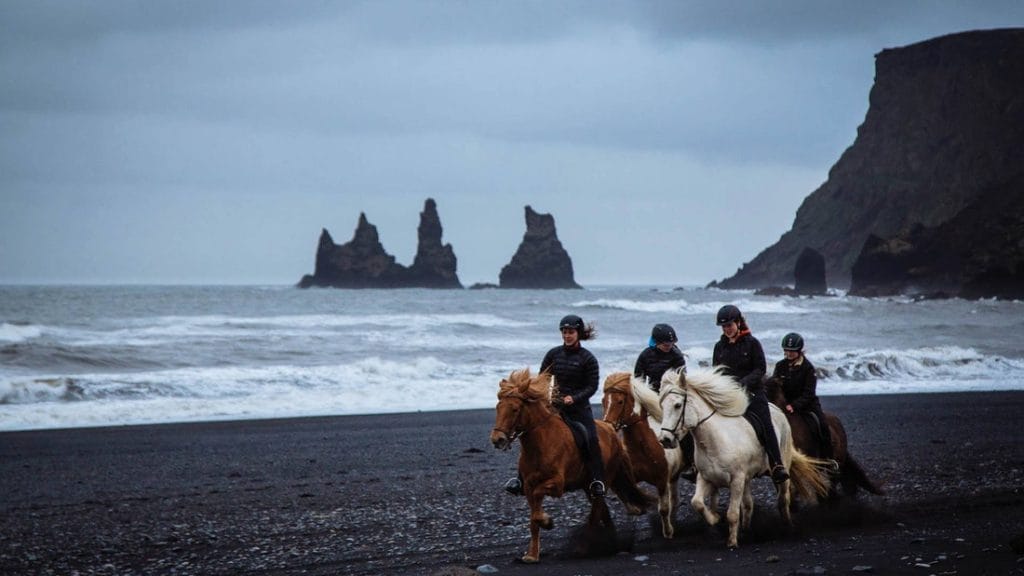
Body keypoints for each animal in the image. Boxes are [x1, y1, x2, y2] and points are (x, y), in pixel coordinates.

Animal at [489, 366, 647, 561]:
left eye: (515, 409)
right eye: (498, 407)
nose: (497, 439)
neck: (541, 444)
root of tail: (611, 429)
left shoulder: (556, 484)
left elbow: (537, 508)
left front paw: (547, 522)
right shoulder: (527, 486)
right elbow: (533, 517)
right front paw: (532, 555)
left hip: (603, 479)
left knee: (597, 511)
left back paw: (586, 547)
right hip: (587, 486)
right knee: (603, 511)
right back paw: (610, 544)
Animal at [598, 368, 679, 537]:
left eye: (620, 401)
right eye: (603, 401)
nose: (608, 426)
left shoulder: (662, 480)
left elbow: (663, 509)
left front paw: (668, 532)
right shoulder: (630, 475)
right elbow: (622, 490)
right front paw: (635, 509)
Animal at [655, 366, 831, 545]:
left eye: (677, 405)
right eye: (662, 405)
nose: (665, 440)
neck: (714, 441)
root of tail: (778, 410)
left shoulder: (736, 480)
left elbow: (732, 514)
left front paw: (732, 542)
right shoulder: (706, 478)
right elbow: (697, 502)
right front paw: (715, 519)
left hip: (781, 469)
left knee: (783, 500)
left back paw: (788, 527)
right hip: (746, 479)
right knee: (748, 504)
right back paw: (746, 530)